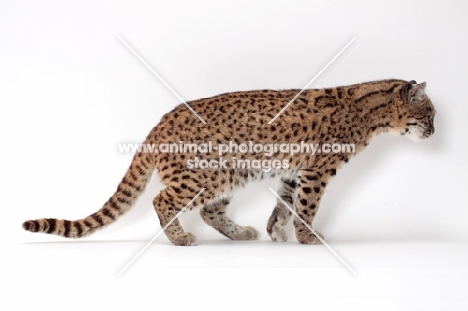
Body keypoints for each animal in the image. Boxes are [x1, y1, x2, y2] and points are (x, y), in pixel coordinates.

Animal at [22, 80, 436, 246]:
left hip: (229, 174)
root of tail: (160, 122)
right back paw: (180, 239)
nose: (435, 132)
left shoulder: (294, 172)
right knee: (162, 200)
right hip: (208, 175)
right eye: (430, 113)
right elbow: (306, 208)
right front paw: (307, 238)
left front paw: (276, 233)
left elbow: (285, 205)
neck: (372, 113)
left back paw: (240, 233)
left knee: (208, 212)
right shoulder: (317, 171)